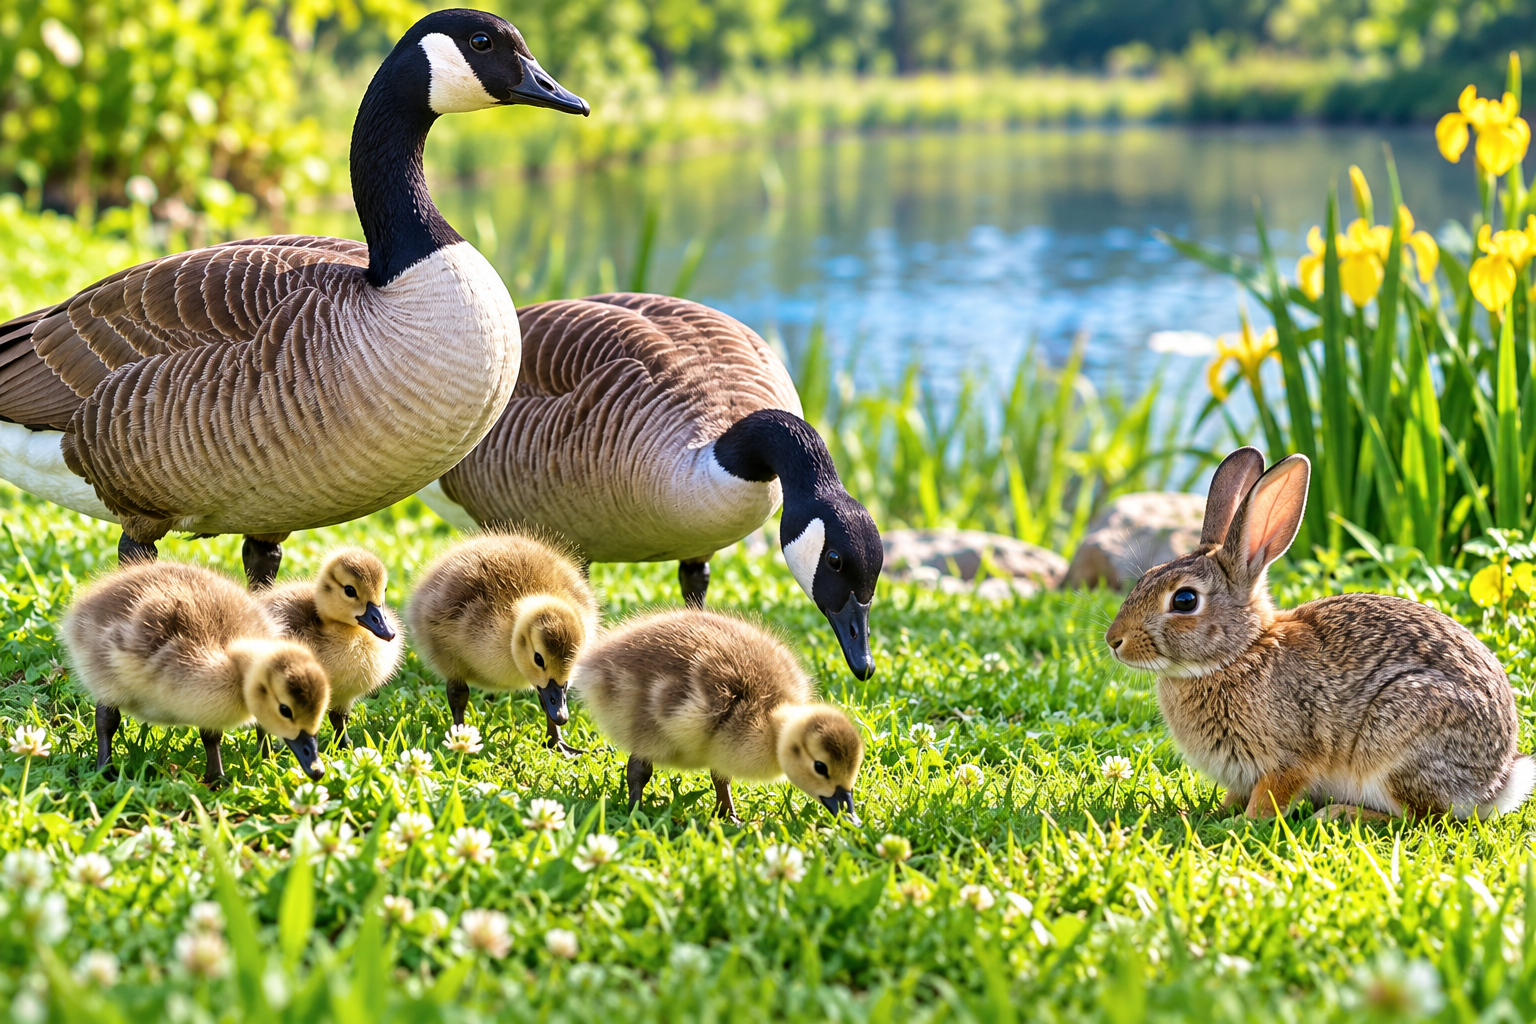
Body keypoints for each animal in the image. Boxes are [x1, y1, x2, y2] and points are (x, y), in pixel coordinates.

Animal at [1104, 446, 1534, 821]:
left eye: (1185, 600)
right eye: (1145, 577)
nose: (1114, 641)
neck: (1239, 653)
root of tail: (1495, 783)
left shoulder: (1290, 757)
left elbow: (1270, 796)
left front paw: (1243, 823)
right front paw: (1208, 813)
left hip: (1399, 741)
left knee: (1420, 818)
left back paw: (1338, 815)